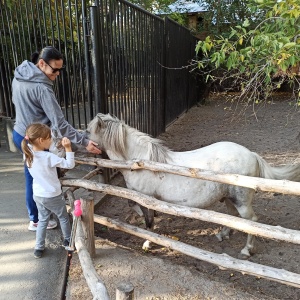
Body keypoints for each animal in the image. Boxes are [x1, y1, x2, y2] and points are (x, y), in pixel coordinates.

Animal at [87, 112, 300, 258]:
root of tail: (252, 155)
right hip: (228, 198)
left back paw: (246, 250)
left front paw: (148, 243)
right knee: (232, 217)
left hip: (242, 202)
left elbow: (147, 222)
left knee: (252, 222)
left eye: (88, 131)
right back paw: (222, 235)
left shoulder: (146, 198)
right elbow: (135, 207)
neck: (140, 161)